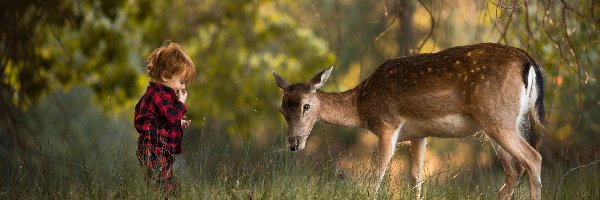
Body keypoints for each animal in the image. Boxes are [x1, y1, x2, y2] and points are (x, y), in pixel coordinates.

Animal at [274, 43, 548, 200]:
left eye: (306, 106)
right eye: (282, 110)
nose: (294, 144)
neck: (363, 106)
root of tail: (529, 63)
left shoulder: (388, 124)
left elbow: (379, 173)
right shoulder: (418, 134)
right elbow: (416, 177)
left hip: (497, 118)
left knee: (533, 158)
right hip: (500, 122)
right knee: (514, 169)